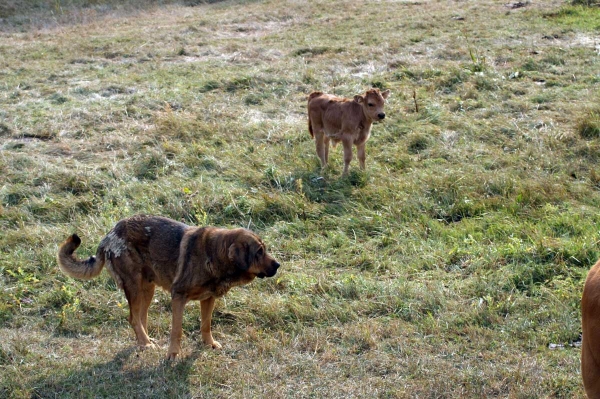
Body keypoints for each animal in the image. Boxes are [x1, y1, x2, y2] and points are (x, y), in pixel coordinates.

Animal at [57, 214, 280, 360]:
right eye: (259, 252)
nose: (278, 265)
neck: (214, 254)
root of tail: (109, 235)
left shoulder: (208, 299)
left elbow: (206, 325)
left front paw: (209, 344)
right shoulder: (178, 297)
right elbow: (177, 330)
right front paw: (173, 354)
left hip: (147, 289)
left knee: (140, 317)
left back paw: (146, 342)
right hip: (134, 287)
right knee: (133, 318)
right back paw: (146, 343)